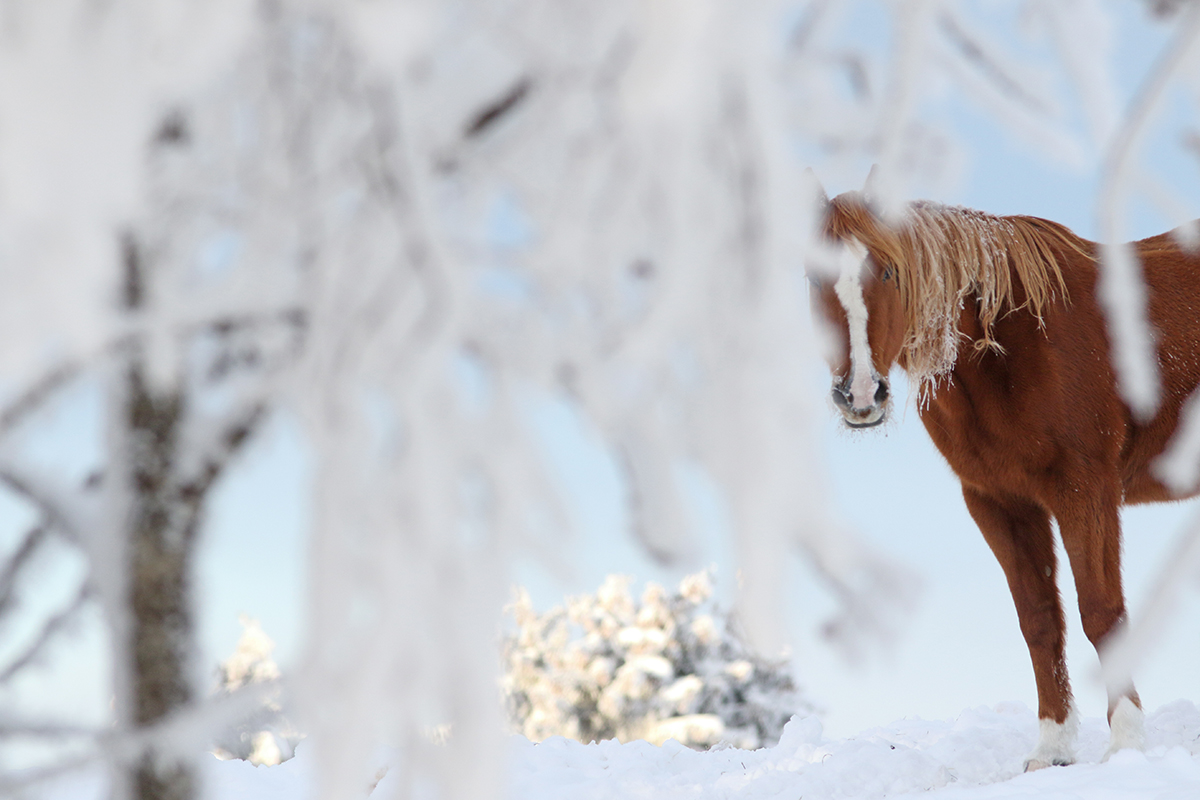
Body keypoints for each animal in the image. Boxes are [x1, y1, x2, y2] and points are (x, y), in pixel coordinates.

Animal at [806, 179, 1200, 767]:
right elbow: (1039, 620)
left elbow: (1101, 613)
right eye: (813, 276)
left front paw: (1126, 744)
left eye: (889, 271)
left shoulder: (1086, 491)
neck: (1012, 340)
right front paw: (1053, 748)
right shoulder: (1000, 502)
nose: (859, 394)